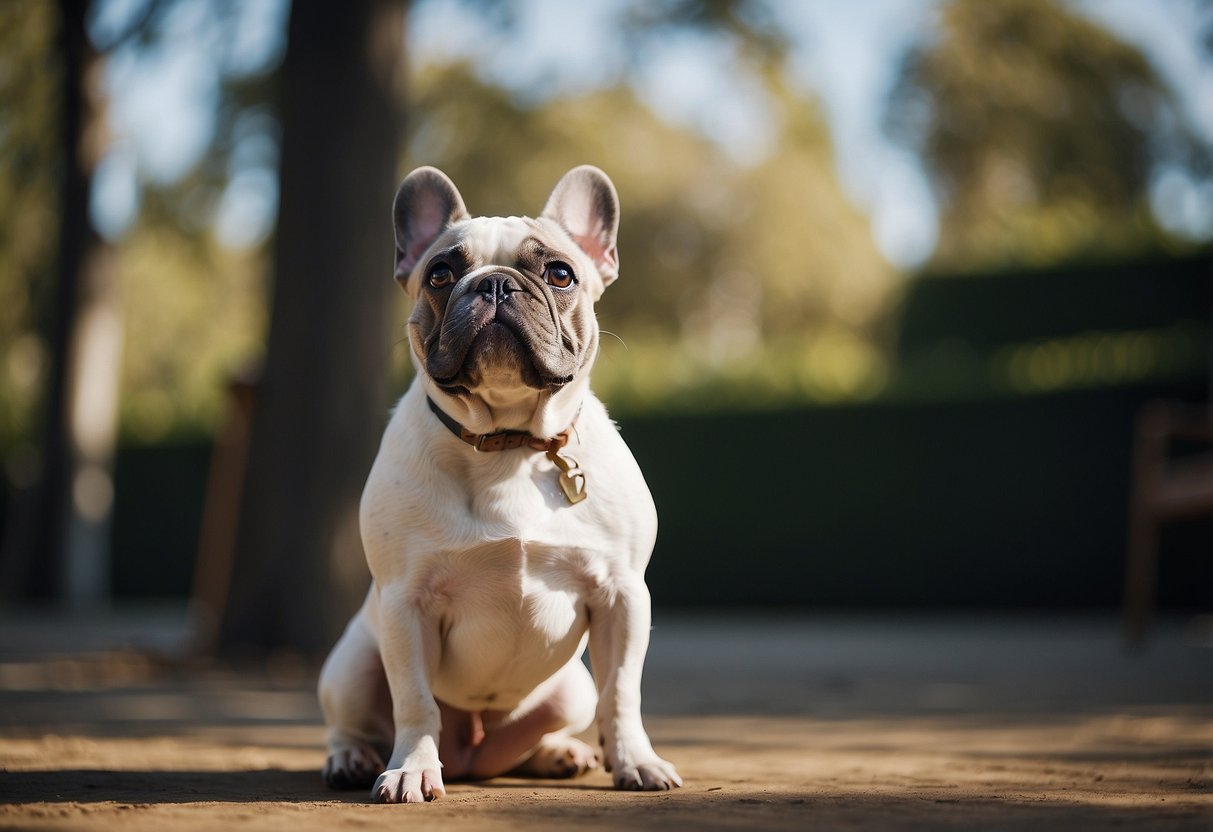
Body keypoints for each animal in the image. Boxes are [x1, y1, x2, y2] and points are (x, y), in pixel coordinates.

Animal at [317, 164, 684, 810]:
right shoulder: (404, 604)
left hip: (570, 688)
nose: (492, 285)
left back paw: (560, 753)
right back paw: (353, 758)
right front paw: (412, 769)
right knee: (351, 720)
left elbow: (622, 694)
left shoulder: (622, 597)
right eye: (440, 274)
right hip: (354, 663)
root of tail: (472, 755)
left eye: (560, 273)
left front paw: (635, 761)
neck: (508, 445)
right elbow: (414, 701)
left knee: (553, 725)